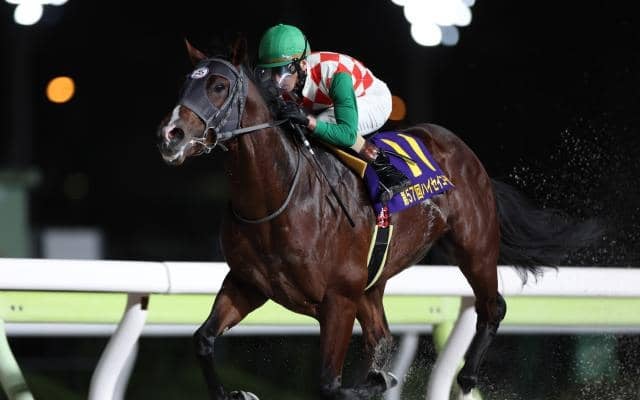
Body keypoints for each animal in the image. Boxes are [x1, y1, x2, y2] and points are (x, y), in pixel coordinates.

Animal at [156, 37, 603, 400]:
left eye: (218, 86)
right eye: (184, 84)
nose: (170, 135)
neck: (275, 200)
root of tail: (464, 152)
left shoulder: (338, 298)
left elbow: (330, 384)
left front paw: (378, 380)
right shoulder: (248, 283)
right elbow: (202, 340)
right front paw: (235, 393)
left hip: (474, 247)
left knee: (492, 307)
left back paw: (465, 379)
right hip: (373, 283)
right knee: (383, 337)